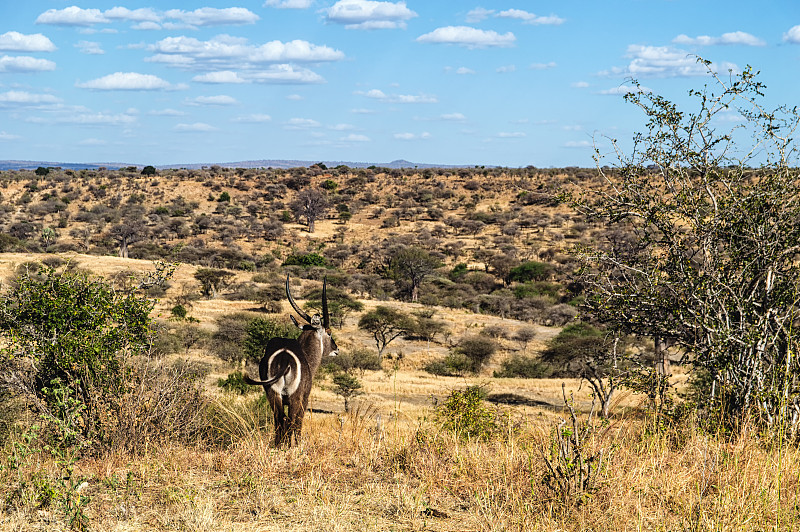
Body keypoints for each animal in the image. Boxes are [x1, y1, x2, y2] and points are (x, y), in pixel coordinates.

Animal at [244, 276, 338, 446]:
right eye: (329, 332)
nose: (336, 349)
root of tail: (284, 356)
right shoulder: (304, 398)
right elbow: (298, 423)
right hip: (295, 397)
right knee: (291, 421)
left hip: (273, 395)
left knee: (279, 420)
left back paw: (278, 446)